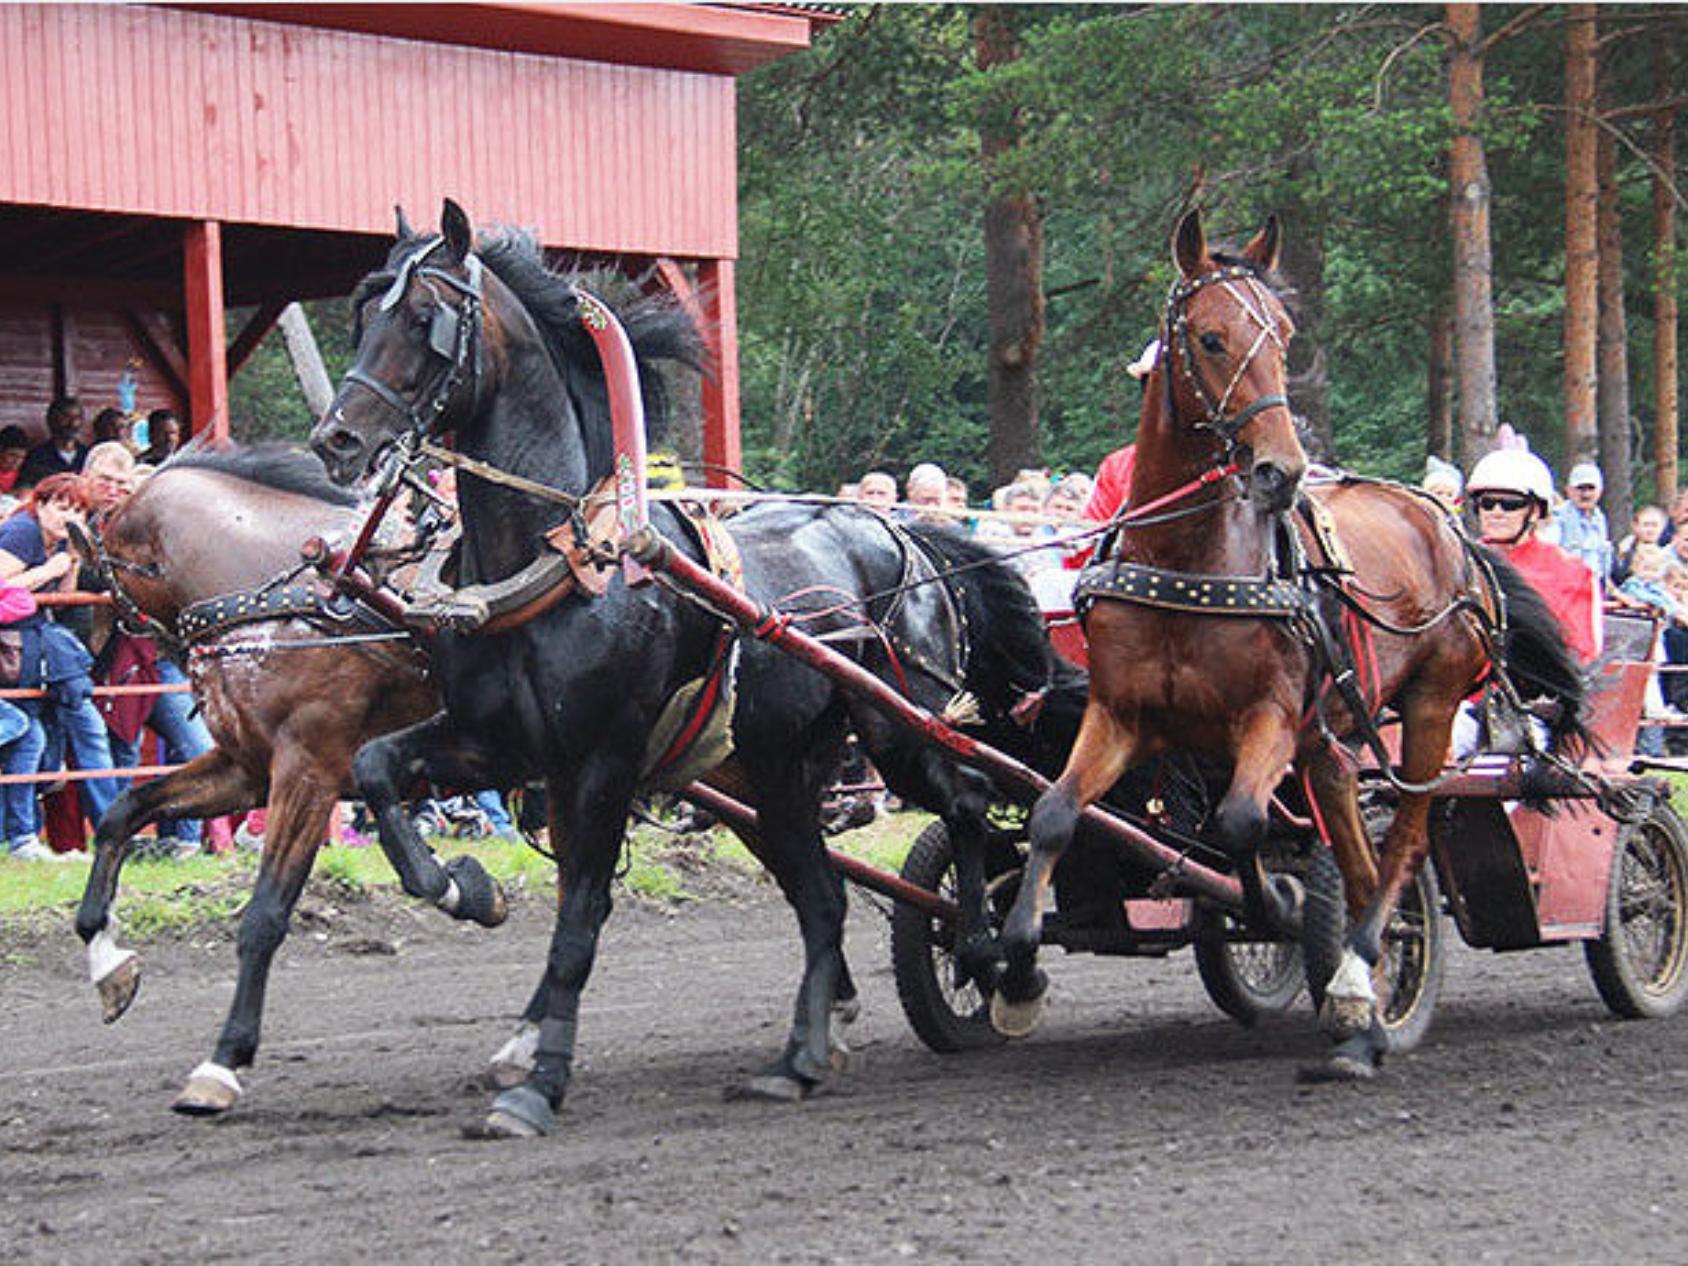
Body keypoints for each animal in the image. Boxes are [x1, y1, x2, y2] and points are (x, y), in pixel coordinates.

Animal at [71, 449, 459, 1120]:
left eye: (101, 578)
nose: (95, 668)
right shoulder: (247, 770)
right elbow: (123, 810)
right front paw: (109, 966)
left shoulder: (306, 773)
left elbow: (264, 917)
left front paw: (223, 1062)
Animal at [310, 200, 1046, 1141]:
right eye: (363, 310)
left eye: (421, 319)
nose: (335, 439)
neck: (565, 564)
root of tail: (901, 532)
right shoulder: (496, 742)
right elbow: (376, 770)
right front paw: (463, 889)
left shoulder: (603, 763)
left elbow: (582, 918)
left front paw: (537, 1084)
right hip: (778, 767)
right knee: (822, 895)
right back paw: (802, 1055)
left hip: (895, 726)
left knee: (964, 803)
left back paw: (993, 955)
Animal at [985, 211, 1579, 1080]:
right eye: (1209, 338)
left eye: (1284, 335)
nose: (1281, 470)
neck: (1193, 562)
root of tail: (1448, 524)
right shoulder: (1122, 717)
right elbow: (1056, 815)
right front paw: (1018, 972)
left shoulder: (1263, 718)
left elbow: (1240, 824)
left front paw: (1277, 906)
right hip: (1328, 739)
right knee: (1359, 855)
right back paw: (1367, 998)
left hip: (1430, 705)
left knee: (1402, 842)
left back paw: (1359, 979)